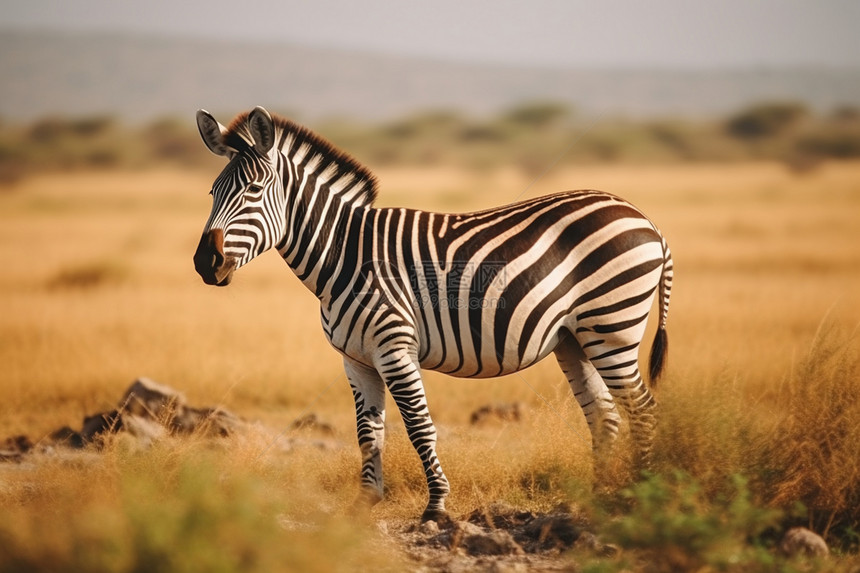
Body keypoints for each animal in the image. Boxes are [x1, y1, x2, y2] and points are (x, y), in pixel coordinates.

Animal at [193, 107, 672, 524]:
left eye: (254, 191)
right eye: (213, 194)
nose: (204, 263)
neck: (346, 255)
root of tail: (644, 218)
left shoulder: (394, 347)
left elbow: (420, 428)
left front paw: (436, 507)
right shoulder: (356, 359)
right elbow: (368, 433)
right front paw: (363, 504)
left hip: (612, 327)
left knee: (644, 410)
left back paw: (640, 497)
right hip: (576, 339)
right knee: (605, 416)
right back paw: (593, 500)